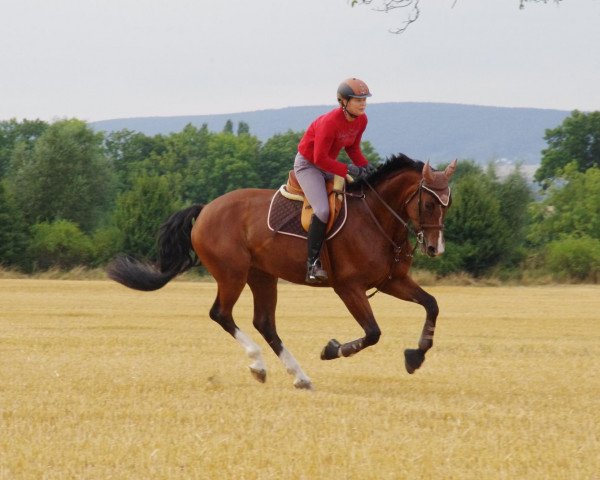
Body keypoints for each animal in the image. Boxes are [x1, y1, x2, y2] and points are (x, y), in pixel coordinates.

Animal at [108, 155, 458, 390]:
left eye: (448, 204)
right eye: (429, 204)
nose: (435, 248)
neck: (376, 218)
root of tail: (206, 208)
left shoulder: (391, 281)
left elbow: (432, 305)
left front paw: (416, 356)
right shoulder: (349, 287)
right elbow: (372, 332)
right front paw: (331, 350)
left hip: (262, 276)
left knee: (264, 322)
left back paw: (298, 376)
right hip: (232, 274)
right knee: (221, 314)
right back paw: (258, 364)